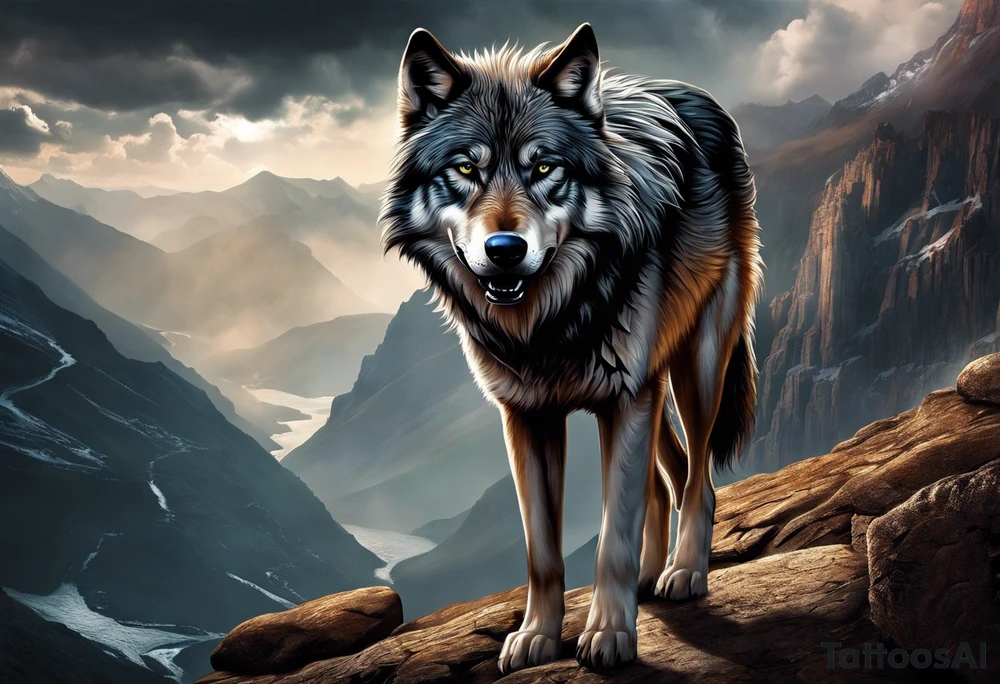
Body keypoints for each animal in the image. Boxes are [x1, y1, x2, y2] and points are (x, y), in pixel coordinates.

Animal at [381, 23, 763, 673]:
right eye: (465, 168)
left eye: (543, 167)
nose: (505, 249)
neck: (546, 325)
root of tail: (698, 95)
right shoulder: (527, 417)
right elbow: (542, 549)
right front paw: (536, 636)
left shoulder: (625, 401)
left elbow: (612, 537)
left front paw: (609, 634)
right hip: (652, 386)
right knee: (665, 480)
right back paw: (650, 578)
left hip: (696, 367)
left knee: (699, 481)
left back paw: (684, 573)